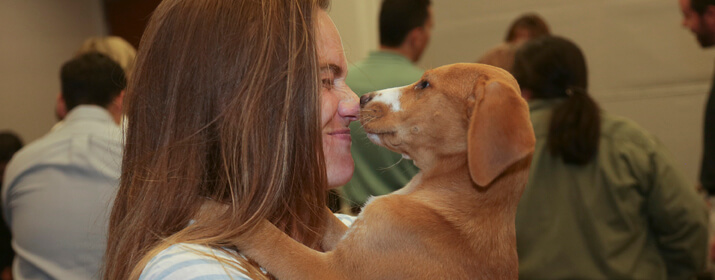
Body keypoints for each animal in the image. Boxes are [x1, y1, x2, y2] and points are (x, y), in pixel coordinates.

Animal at [232, 63, 536, 280]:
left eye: (425, 84)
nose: (362, 98)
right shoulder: (357, 238)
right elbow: (325, 216)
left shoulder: (333, 271)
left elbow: (274, 240)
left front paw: (228, 213)